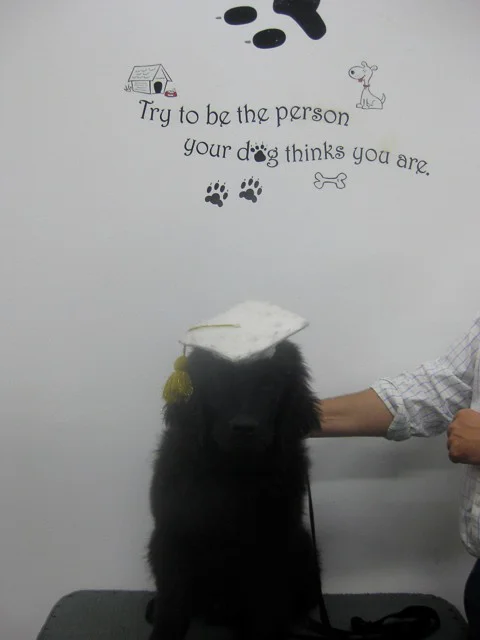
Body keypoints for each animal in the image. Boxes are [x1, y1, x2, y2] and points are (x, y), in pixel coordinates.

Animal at [146, 340, 322, 640]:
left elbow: (268, 604)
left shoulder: (275, 540)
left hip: (305, 550)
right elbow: (172, 599)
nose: (244, 428)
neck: (233, 470)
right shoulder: (172, 534)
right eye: (218, 381)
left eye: (269, 385)